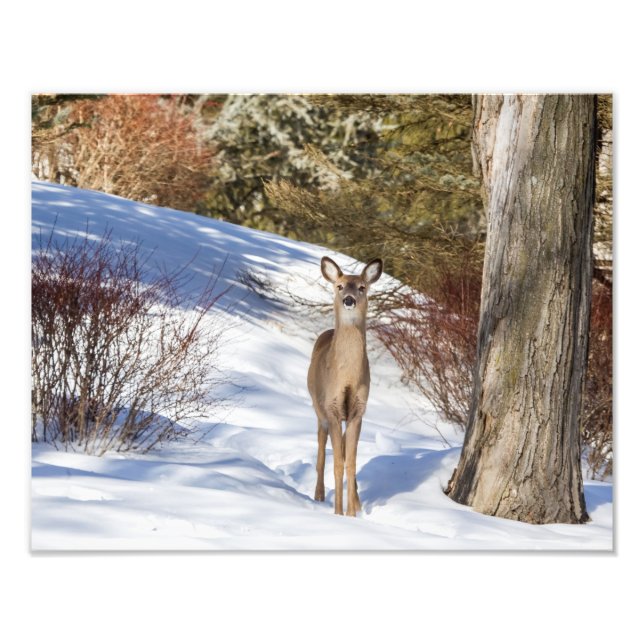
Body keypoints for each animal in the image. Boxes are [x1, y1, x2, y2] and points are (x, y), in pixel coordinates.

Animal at [307, 255, 383, 516]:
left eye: (361, 287)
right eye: (340, 286)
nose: (348, 299)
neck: (348, 378)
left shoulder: (358, 410)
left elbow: (350, 462)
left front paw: (351, 513)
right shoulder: (331, 407)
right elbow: (338, 464)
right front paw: (338, 513)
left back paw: (356, 501)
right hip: (319, 409)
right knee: (321, 452)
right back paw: (319, 495)